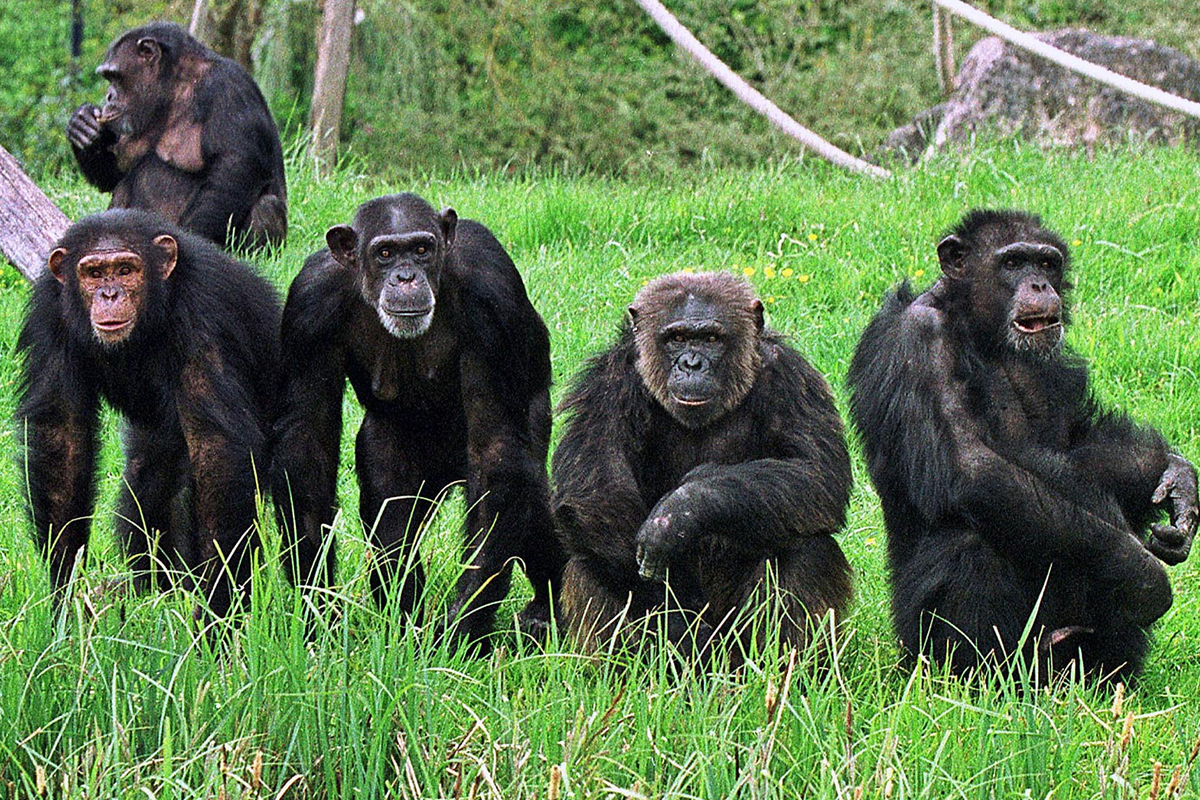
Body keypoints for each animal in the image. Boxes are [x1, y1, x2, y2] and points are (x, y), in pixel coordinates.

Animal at [17, 209, 279, 623]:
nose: (110, 294)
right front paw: (64, 600)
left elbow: (217, 448)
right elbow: (61, 436)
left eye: (126, 269)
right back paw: (151, 590)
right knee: (148, 481)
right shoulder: (49, 311)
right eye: (94, 273)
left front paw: (218, 612)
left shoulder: (202, 312)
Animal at [66, 21, 288, 251]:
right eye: (109, 77)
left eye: (115, 76)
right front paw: (82, 124)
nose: (109, 96)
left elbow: (237, 164)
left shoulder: (229, 87)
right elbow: (113, 175)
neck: (172, 88)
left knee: (267, 206)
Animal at [274, 190, 564, 647]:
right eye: (385, 253)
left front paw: (461, 629)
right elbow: (306, 445)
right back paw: (403, 621)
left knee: (527, 494)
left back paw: (548, 609)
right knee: (390, 516)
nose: (406, 276)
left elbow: (497, 454)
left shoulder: (492, 292)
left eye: (422, 249)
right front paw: (319, 608)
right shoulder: (309, 306)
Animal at [552, 272, 854, 662]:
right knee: (589, 561)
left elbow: (818, 472)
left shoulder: (792, 377)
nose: (691, 363)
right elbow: (597, 490)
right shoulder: (607, 384)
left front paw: (682, 510)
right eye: (677, 338)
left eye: (711, 338)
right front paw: (675, 627)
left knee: (806, 547)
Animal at [849, 209, 1195, 686]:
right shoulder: (918, 339)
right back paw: (974, 680)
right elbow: (972, 464)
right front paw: (1138, 572)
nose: (1039, 285)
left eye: (1047, 263)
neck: (980, 331)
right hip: (920, 645)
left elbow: (1078, 450)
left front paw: (1175, 476)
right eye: (1013, 262)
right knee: (970, 545)